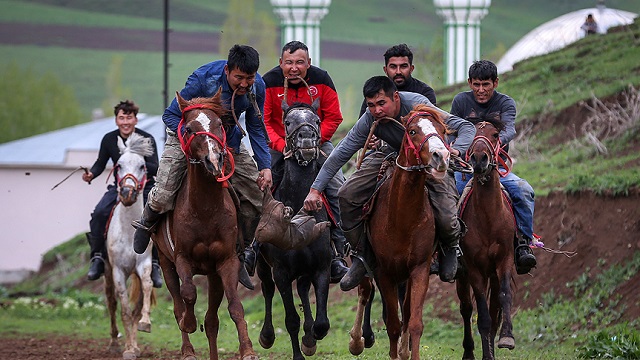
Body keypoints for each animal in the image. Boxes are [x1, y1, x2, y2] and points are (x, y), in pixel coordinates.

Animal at [152, 92, 258, 360]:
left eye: (219, 124)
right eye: (189, 129)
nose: (213, 159)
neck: (205, 210)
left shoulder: (226, 261)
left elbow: (235, 306)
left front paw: (247, 349)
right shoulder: (181, 258)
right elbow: (188, 293)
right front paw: (189, 324)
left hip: (213, 274)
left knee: (211, 321)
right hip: (165, 262)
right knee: (177, 304)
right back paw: (187, 349)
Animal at [350, 102, 450, 358]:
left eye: (443, 131)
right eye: (413, 131)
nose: (441, 156)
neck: (402, 219)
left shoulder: (419, 269)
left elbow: (413, 322)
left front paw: (407, 352)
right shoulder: (384, 272)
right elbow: (393, 324)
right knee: (364, 290)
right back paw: (356, 341)